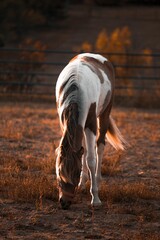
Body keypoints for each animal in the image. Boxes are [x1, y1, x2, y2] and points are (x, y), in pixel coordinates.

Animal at [55, 53, 126, 210]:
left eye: (75, 174)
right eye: (59, 172)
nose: (64, 202)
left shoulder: (91, 125)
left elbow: (91, 160)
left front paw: (95, 198)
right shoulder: (65, 124)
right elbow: (82, 154)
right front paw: (83, 183)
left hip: (104, 114)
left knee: (99, 146)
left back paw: (97, 179)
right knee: (85, 149)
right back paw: (84, 183)